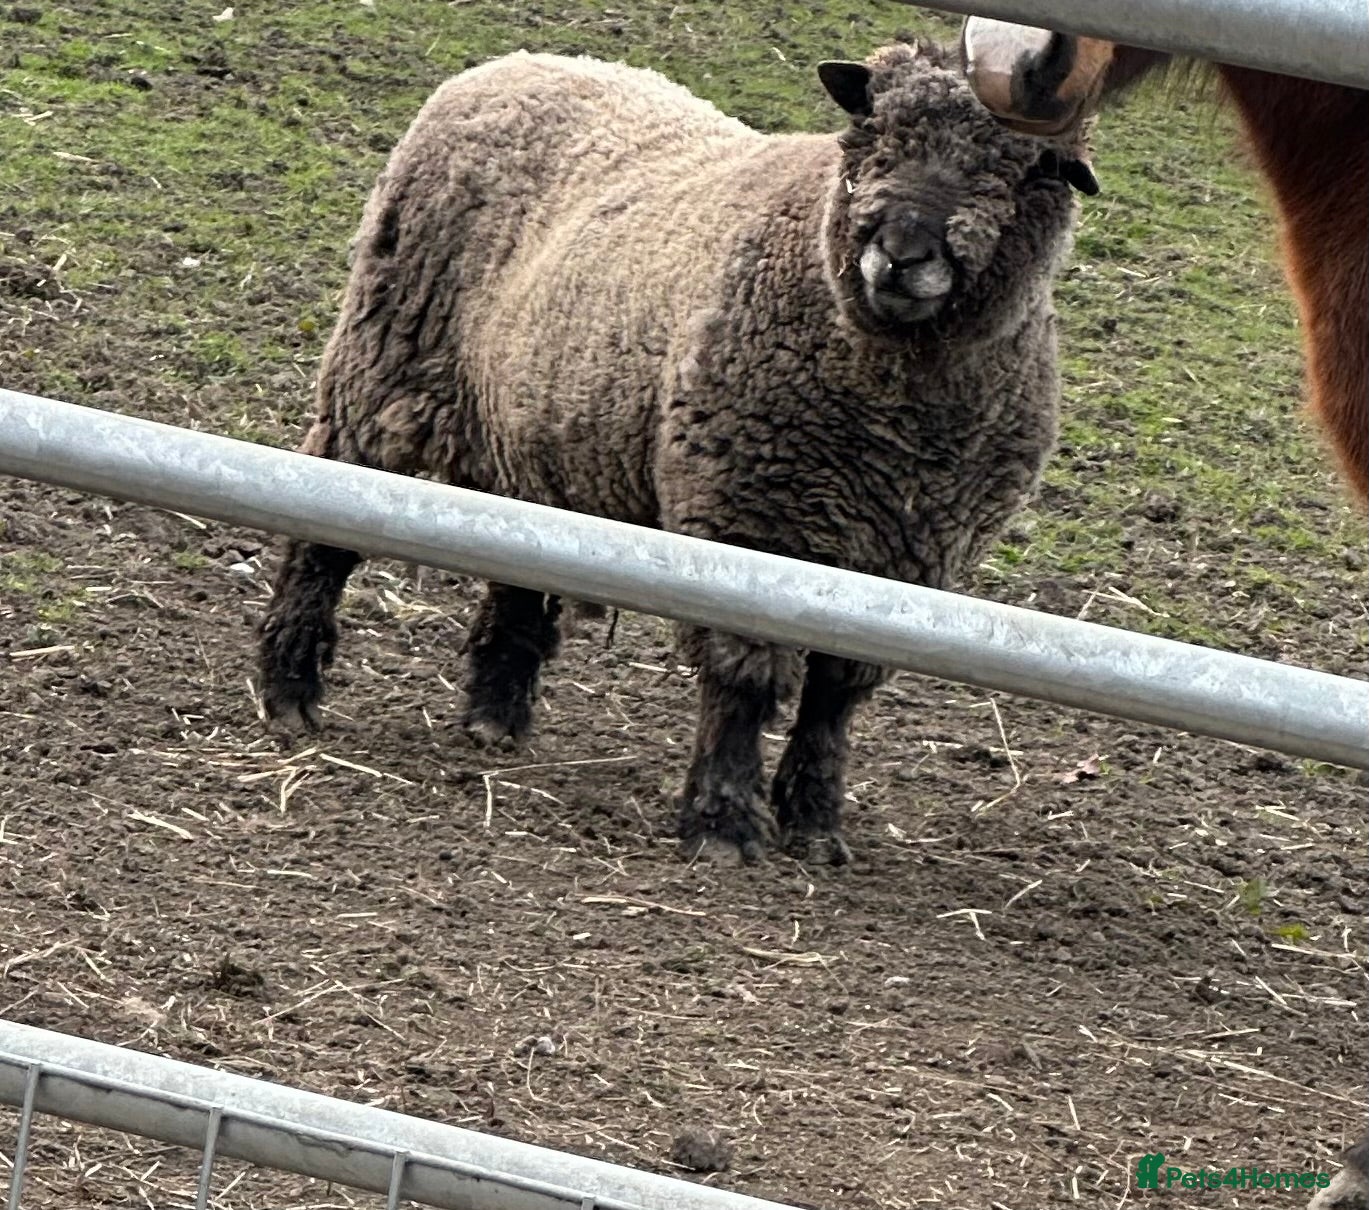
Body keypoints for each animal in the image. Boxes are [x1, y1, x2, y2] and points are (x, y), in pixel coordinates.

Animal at [257, 40, 1095, 864]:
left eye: (1031, 167)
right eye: (873, 133)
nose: (902, 250)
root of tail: (518, 60)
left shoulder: (912, 559)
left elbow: (835, 693)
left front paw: (815, 823)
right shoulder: (744, 515)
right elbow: (742, 678)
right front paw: (722, 823)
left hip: (533, 433)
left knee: (524, 567)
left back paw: (495, 716)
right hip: (381, 365)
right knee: (324, 537)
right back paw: (289, 691)